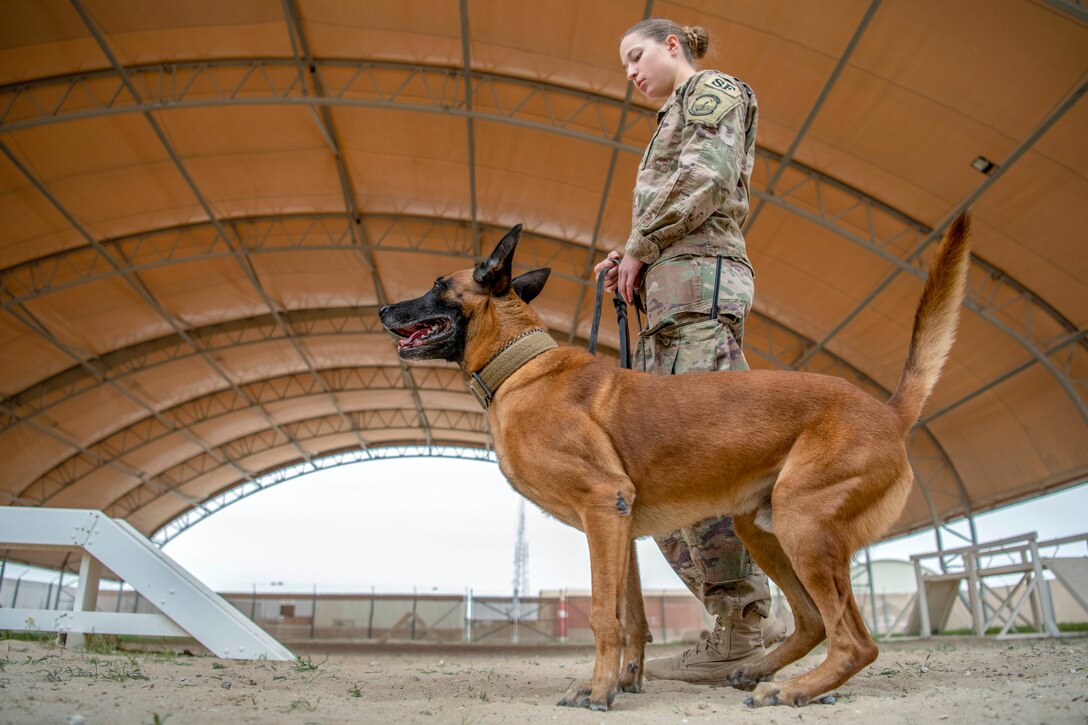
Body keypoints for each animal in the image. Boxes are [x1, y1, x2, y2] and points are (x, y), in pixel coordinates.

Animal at [378, 212, 974, 709]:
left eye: (437, 286)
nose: (382, 309)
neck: (521, 366)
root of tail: (889, 410)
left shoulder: (603, 507)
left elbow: (603, 614)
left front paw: (599, 691)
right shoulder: (619, 527)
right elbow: (632, 617)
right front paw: (623, 681)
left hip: (804, 525)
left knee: (855, 641)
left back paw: (795, 689)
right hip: (766, 528)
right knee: (813, 622)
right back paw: (760, 671)